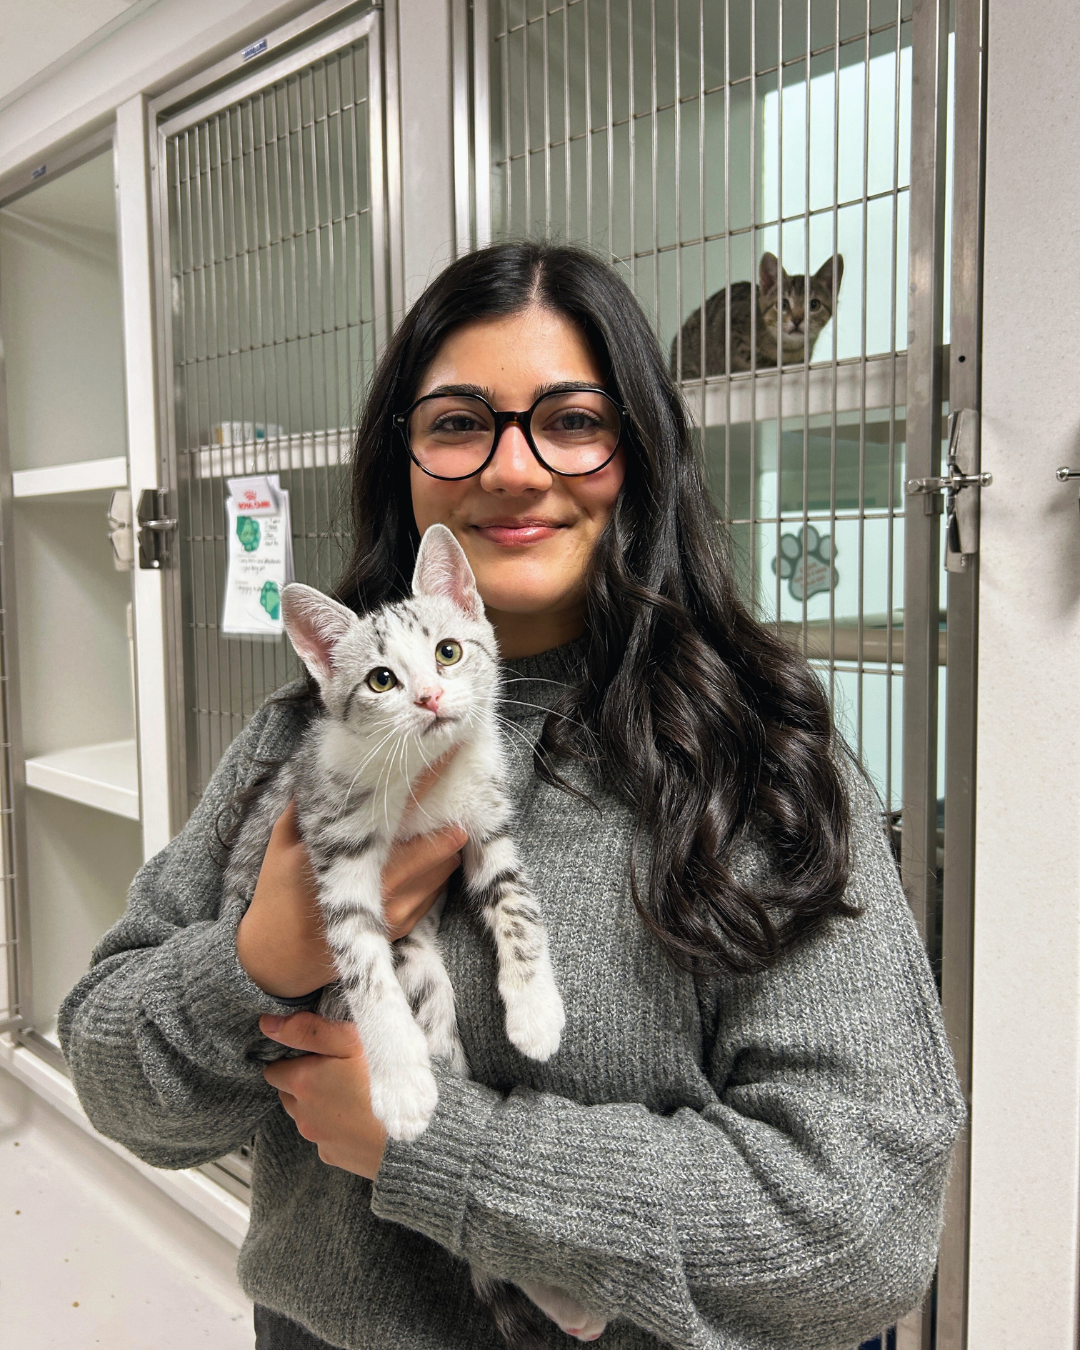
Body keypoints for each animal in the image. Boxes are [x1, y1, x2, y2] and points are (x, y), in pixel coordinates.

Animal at [228, 523, 607, 1339]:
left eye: (448, 652)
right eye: (380, 680)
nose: (430, 697)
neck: (426, 772)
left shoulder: (487, 824)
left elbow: (516, 904)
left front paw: (536, 1013)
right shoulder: (336, 855)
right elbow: (363, 967)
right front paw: (399, 1083)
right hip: (401, 970)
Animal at [675, 252, 842, 380]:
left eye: (814, 305)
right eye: (783, 304)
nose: (797, 319)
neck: (789, 349)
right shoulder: (732, 324)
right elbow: (753, 356)